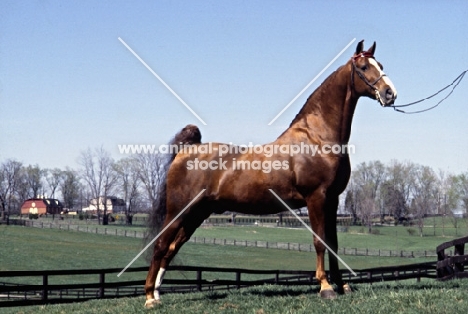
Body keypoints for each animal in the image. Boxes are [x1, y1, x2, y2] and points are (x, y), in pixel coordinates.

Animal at [144, 40, 396, 308]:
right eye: (363, 67)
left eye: (380, 65)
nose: (390, 93)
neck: (317, 137)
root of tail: (185, 151)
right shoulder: (316, 198)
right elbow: (319, 242)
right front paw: (326, 287)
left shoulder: (332, 201)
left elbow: (333, 244)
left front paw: (342, 285)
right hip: (178, 211)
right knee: (160, 245)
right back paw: (149, 297)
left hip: (197, 213)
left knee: (171, 249)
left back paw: (157, 294)